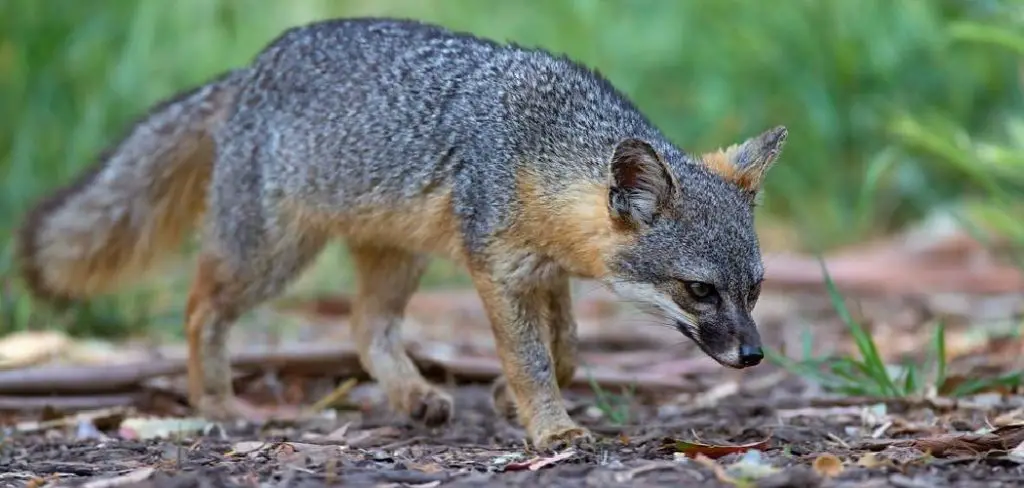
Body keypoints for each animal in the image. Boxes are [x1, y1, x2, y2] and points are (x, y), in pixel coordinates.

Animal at [15, 17, 787, 450]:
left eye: (755, 288)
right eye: (699, 291)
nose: (753, 355)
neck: (542, 142)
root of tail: (249, 70)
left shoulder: (543, 272)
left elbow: (566, 349)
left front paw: (507, 400)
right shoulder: (499, 270)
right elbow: (535, 360)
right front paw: (551, 428)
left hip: (398, 257)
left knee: (366, 328)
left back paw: (413, 396)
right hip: (272, 256)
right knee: (202, 305)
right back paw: (217, 401)